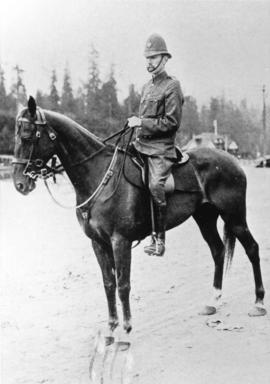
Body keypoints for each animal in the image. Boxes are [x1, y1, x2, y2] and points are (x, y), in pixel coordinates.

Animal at [12, 98, 266, 332]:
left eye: (28, 135)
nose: (19, 184)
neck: (101, 175)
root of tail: (232, 160)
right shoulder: (98, 243)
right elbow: (108, 283)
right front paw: (112, 326)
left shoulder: (120, 241)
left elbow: (123, 284)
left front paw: (126, 328)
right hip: (205, 218)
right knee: (218, 250)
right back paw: (213, 300)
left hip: (234, 217)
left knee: (252, 249)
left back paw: (259, 303)